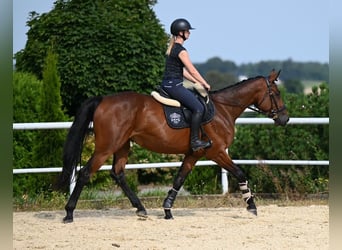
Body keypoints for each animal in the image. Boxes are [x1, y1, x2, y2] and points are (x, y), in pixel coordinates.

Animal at [58, 69, 288, 223]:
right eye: (276, 93)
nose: (285, 118)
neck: (223, 109)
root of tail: (103, 100)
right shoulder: (216, 152)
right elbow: (240, 173)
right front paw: (251, 206)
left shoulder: (193, 154)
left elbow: (179, 178)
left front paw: (167, 209)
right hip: (105, 147)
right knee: (86, 173)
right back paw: (69, 213)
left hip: (122, 145)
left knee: (118, 173)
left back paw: (141, 209)